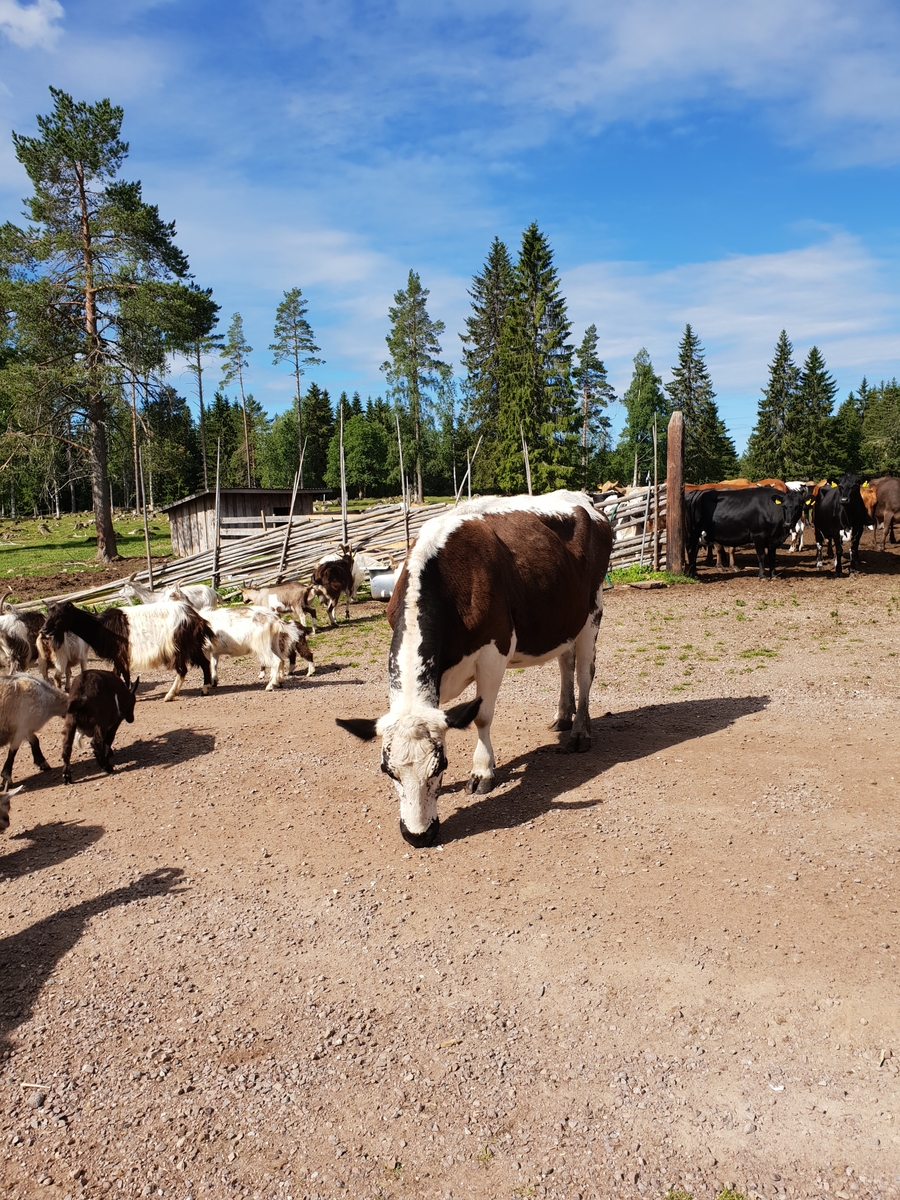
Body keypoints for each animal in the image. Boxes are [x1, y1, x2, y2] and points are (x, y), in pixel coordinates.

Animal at [0, 674, 69, 827]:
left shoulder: (26, 729)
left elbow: (35, 741)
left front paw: (42, 763)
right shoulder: (20, 728)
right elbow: (13, 752)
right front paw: (6, 777)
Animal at [41, 600, 214, 702]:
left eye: (61, 615)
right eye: (48, 613)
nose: (44, 630)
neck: (100, 626)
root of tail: (195, 617)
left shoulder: (120, 653)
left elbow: (125, 674)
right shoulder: (116, 656)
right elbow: (115, 673)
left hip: (177, 646)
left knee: (182, 669)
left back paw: (169, 695)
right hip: (192, 645)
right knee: (204, 662)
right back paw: (205, 688)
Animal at [335, 492, 612, 848]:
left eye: (440, 764)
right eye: (388, 770)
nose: (418, 835)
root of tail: (582, 498)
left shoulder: (495, 651)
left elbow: (481, 717)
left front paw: (482, 771)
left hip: (592, 609)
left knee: (584, 673)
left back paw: (579, 732)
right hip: (563, 617)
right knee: (566, 664)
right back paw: (563, 717)